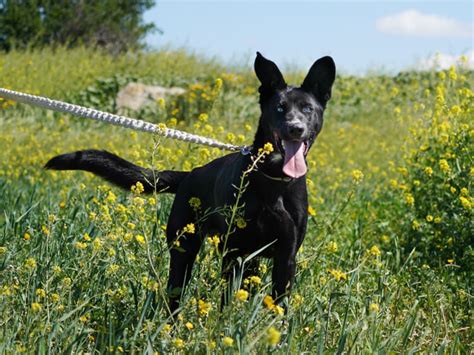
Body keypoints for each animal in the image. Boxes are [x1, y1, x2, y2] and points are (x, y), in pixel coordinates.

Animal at [44, 51, 334, 312]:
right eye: (279, 108)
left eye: (307, 109)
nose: (295, 128)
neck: (274, 180)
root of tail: (189, 174)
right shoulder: (234, 252)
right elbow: (226, 303)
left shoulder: (285, 256)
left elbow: (279, 308)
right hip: (184, 252)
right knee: (174, 296)